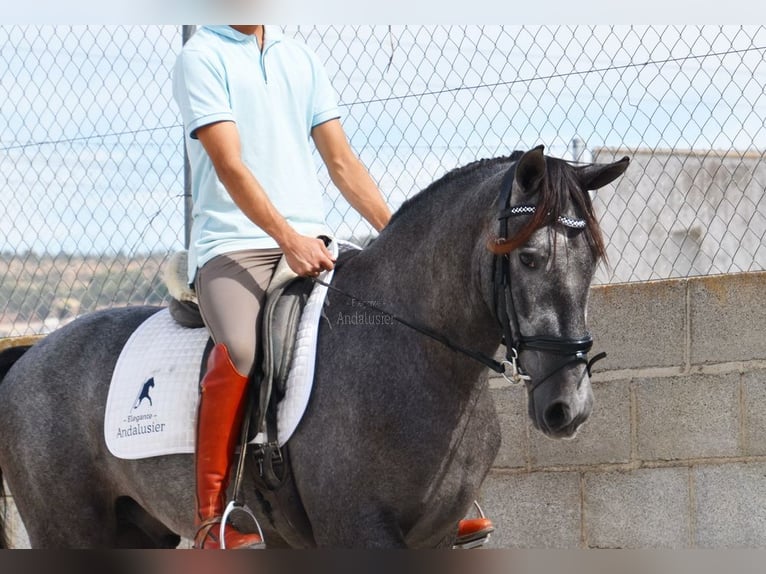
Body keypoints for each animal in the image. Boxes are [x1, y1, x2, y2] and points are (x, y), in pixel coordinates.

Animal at [0, 146, 632, 552]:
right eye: (530, 258)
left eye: (592, 261)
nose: (567, 407)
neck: (413, 355)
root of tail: (29, 354)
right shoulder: (359, 534)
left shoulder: (430, 538)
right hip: (68, 532)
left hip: (137, 531)